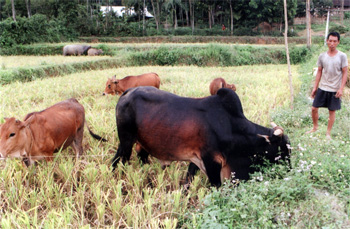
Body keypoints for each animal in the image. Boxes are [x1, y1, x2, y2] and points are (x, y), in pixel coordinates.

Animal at [112, 87, 290, 187]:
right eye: (283, 149)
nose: (290, 170)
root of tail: (128, 92)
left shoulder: (197, 158)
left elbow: (189, 179)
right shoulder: (211, 161)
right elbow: (216, 186)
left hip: (139, 142)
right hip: (126, 139)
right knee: (121, 160)